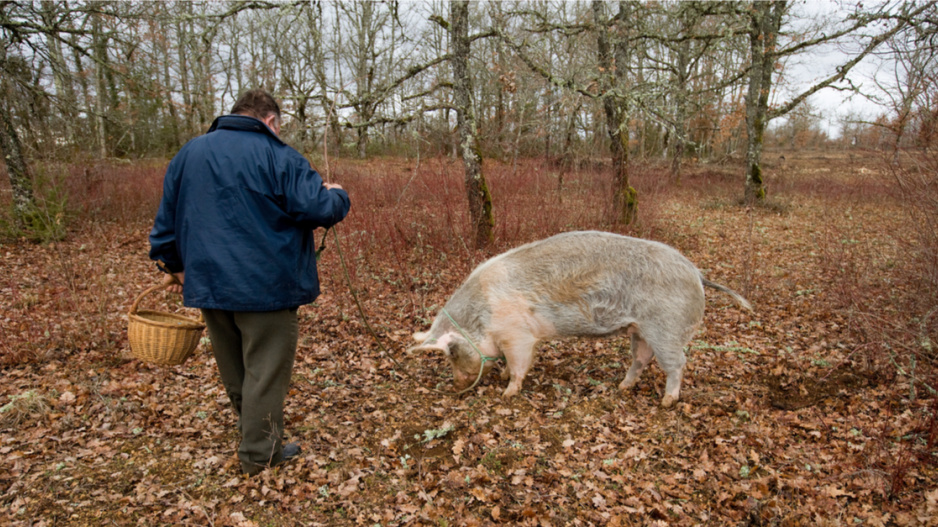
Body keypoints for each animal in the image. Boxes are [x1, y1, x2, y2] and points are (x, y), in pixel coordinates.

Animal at [406, 231, 748, 408]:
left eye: (451, 353)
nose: (455, 386)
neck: (482, 317)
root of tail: (697, 274)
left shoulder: (518, 336)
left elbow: (518, 365)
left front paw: (507, 392)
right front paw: (502, 378)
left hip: (667, 329)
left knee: (677, 364)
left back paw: (667, 401)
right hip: (640, 330)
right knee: (641, 359)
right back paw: (622, 387)